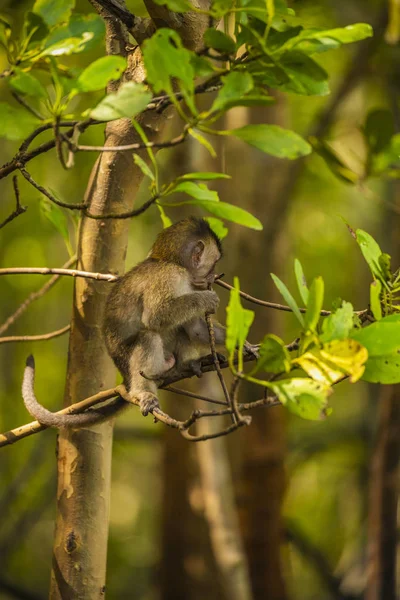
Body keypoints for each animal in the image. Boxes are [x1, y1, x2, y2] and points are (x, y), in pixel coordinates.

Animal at [21, 216, 238, 426]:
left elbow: (196, 330)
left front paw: (243, 345)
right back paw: (144, 392)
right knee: (148, 337)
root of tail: (125, 378)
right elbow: (156, 316)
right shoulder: (169, 276)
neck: (169, 261)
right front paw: (207, 299)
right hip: (129, 362)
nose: (213, 276)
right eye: (213, 264)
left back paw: (189, 364)